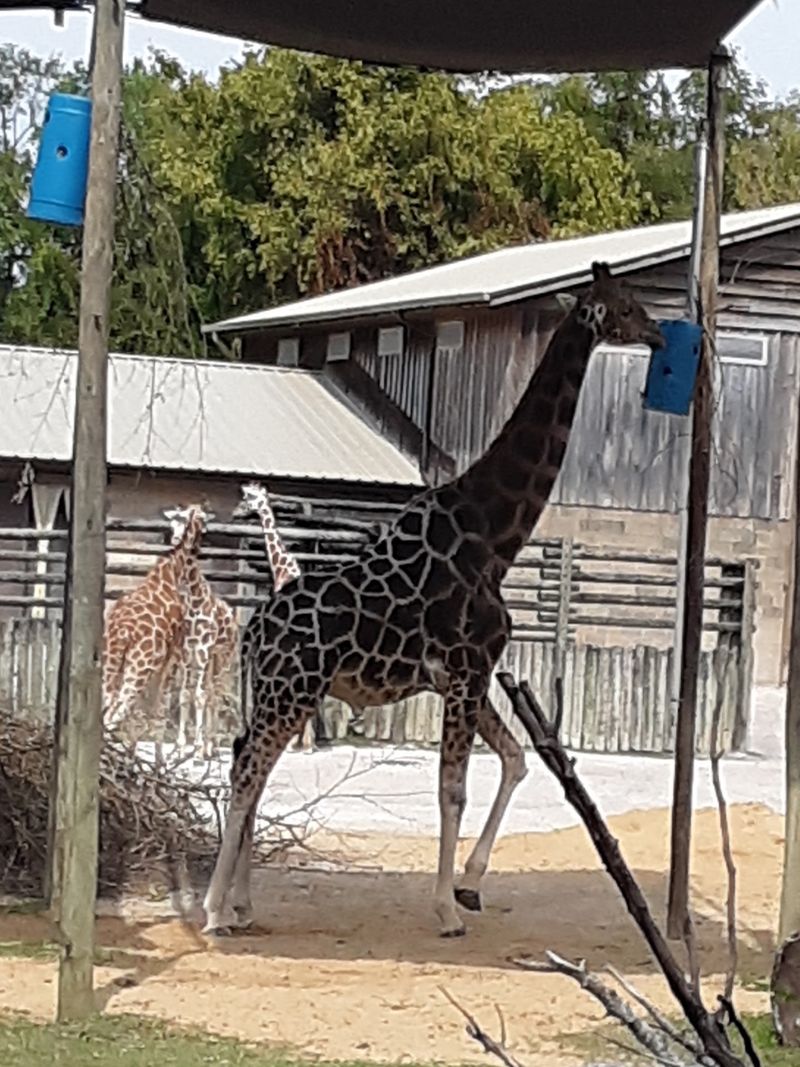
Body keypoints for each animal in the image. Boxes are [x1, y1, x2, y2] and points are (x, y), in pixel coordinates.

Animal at [103, 504, 208, 741]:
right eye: (204, 520)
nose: (199, 545)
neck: (171, 574)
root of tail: (124, 630)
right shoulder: (174, 654)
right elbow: (160, 706)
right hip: (140, 666)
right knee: (119, 708)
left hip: (111, 659)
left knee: (108, 703)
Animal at [164, 506, 239, 759]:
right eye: (172, 523)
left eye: (189, 520)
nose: (176, 540)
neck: (195, 598)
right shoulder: (189, 651)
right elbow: (186, 695)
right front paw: (180, 747)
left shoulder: (205, 650)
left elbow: (200, 696)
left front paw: (196, 750)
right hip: (209, 659)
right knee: (209, 693)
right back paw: (207, 745)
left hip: (223, 656)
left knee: (215, 694)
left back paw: (211, 746)